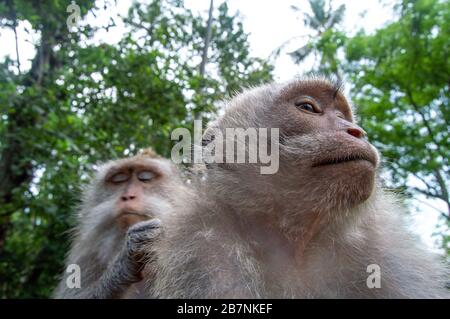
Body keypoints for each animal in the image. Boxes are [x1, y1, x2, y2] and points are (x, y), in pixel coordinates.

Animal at [142, 77, 450, 300]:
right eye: (308, 108)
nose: (357, 131)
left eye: (344, 115)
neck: (293, 239)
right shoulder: (200, 246)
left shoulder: (385, 248)